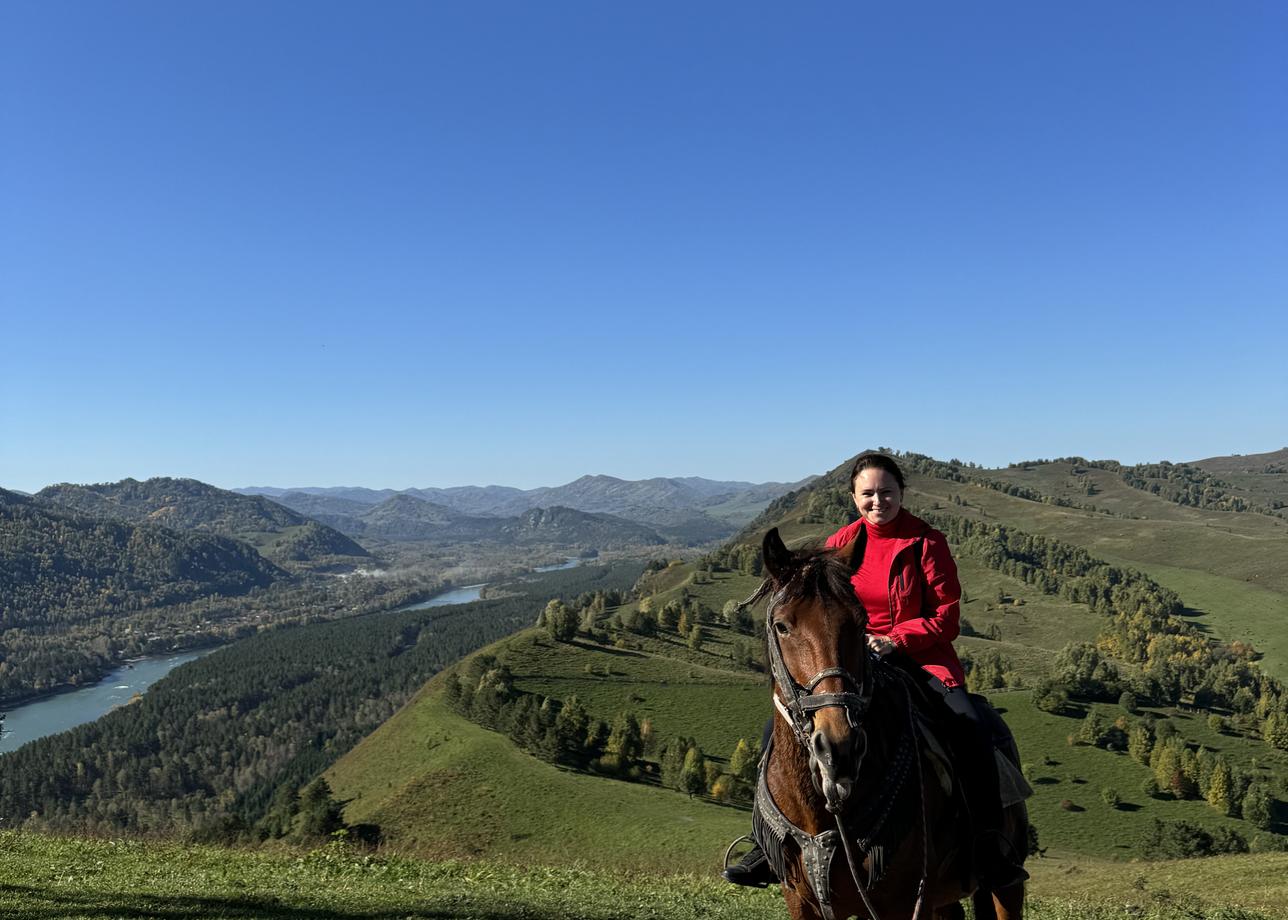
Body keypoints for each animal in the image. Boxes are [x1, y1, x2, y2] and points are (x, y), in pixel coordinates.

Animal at [747, 525, 1025, 917]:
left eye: (860, 622)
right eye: (782, 625)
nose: (839, 747)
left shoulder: (901, 902)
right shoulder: (801, 901)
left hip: (1004, 884)